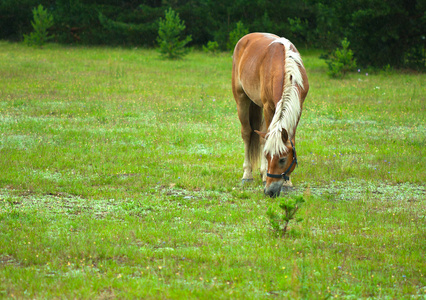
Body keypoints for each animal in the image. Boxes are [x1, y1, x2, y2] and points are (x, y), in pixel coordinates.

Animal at [233, 32, 310, 198]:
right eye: (268, 156)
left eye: (282, 159)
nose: (269, 191)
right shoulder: (268, 106)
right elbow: (265, 140)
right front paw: (263, 174)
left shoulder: (298, 107)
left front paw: (288, 182)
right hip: (242, 99)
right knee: (247, 133)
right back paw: (247, 175)